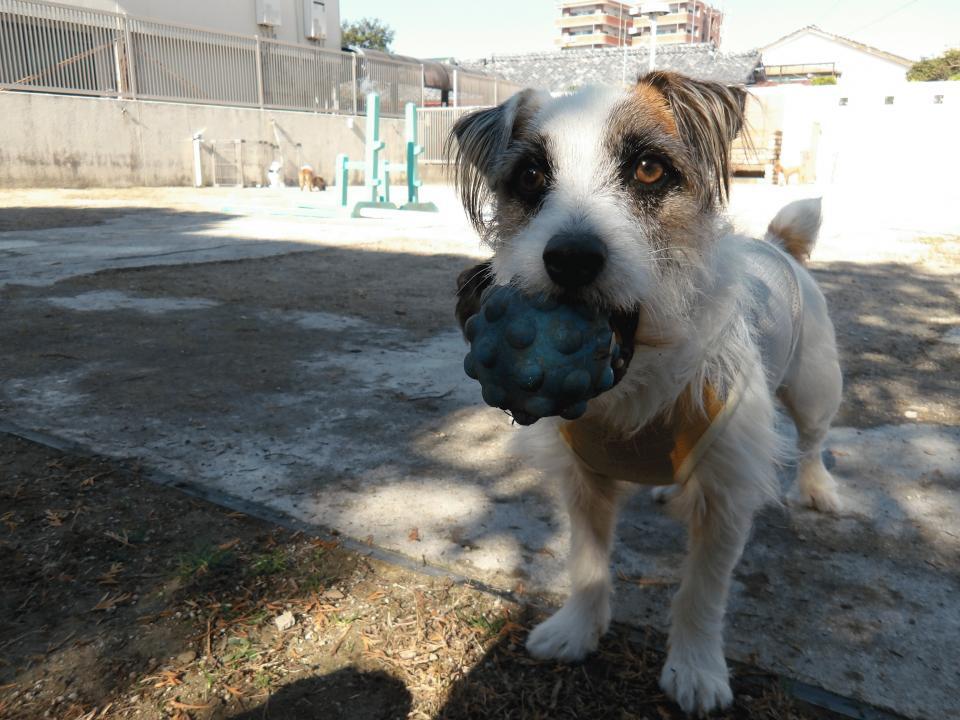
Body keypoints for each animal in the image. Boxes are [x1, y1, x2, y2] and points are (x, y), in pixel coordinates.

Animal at [451, 72, 842, 716]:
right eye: (530, 176)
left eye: (649, 169)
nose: (571, 258)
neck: (637, 385)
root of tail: (777, 243)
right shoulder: (583, 484)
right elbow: (587, 564)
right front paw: (577, 629)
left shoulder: (727, 497)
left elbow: (702, 593)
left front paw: (696, 669)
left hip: (814, 388)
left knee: (812, 441)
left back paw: (816, 489)